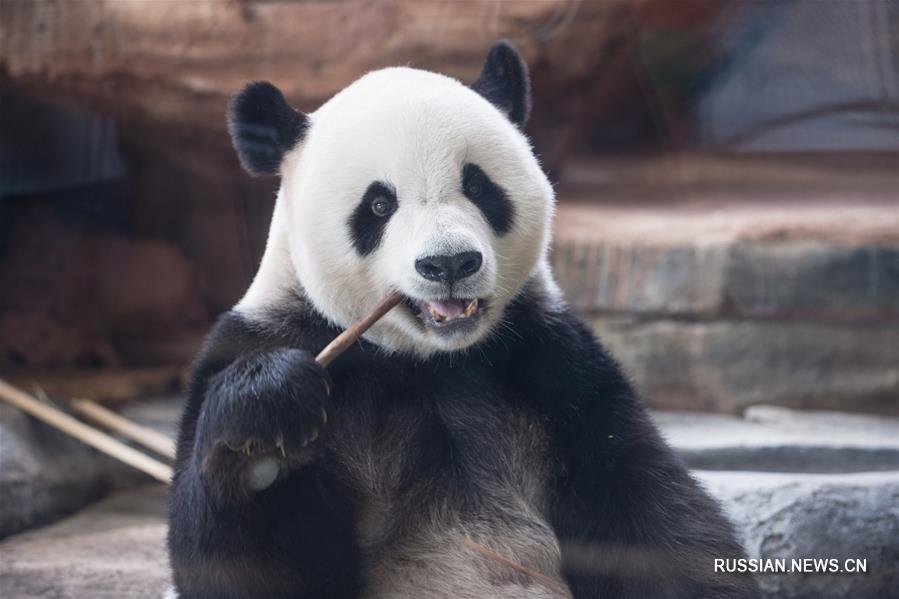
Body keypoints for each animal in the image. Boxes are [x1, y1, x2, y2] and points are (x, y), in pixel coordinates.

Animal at [169, 42, 760, 599]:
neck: (429, 360)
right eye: (379, 205)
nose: (449, 263)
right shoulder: (262, 341)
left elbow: (650, 516)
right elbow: (243, 568)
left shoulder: (555, 368)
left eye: (477, 186)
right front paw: (267, 420)